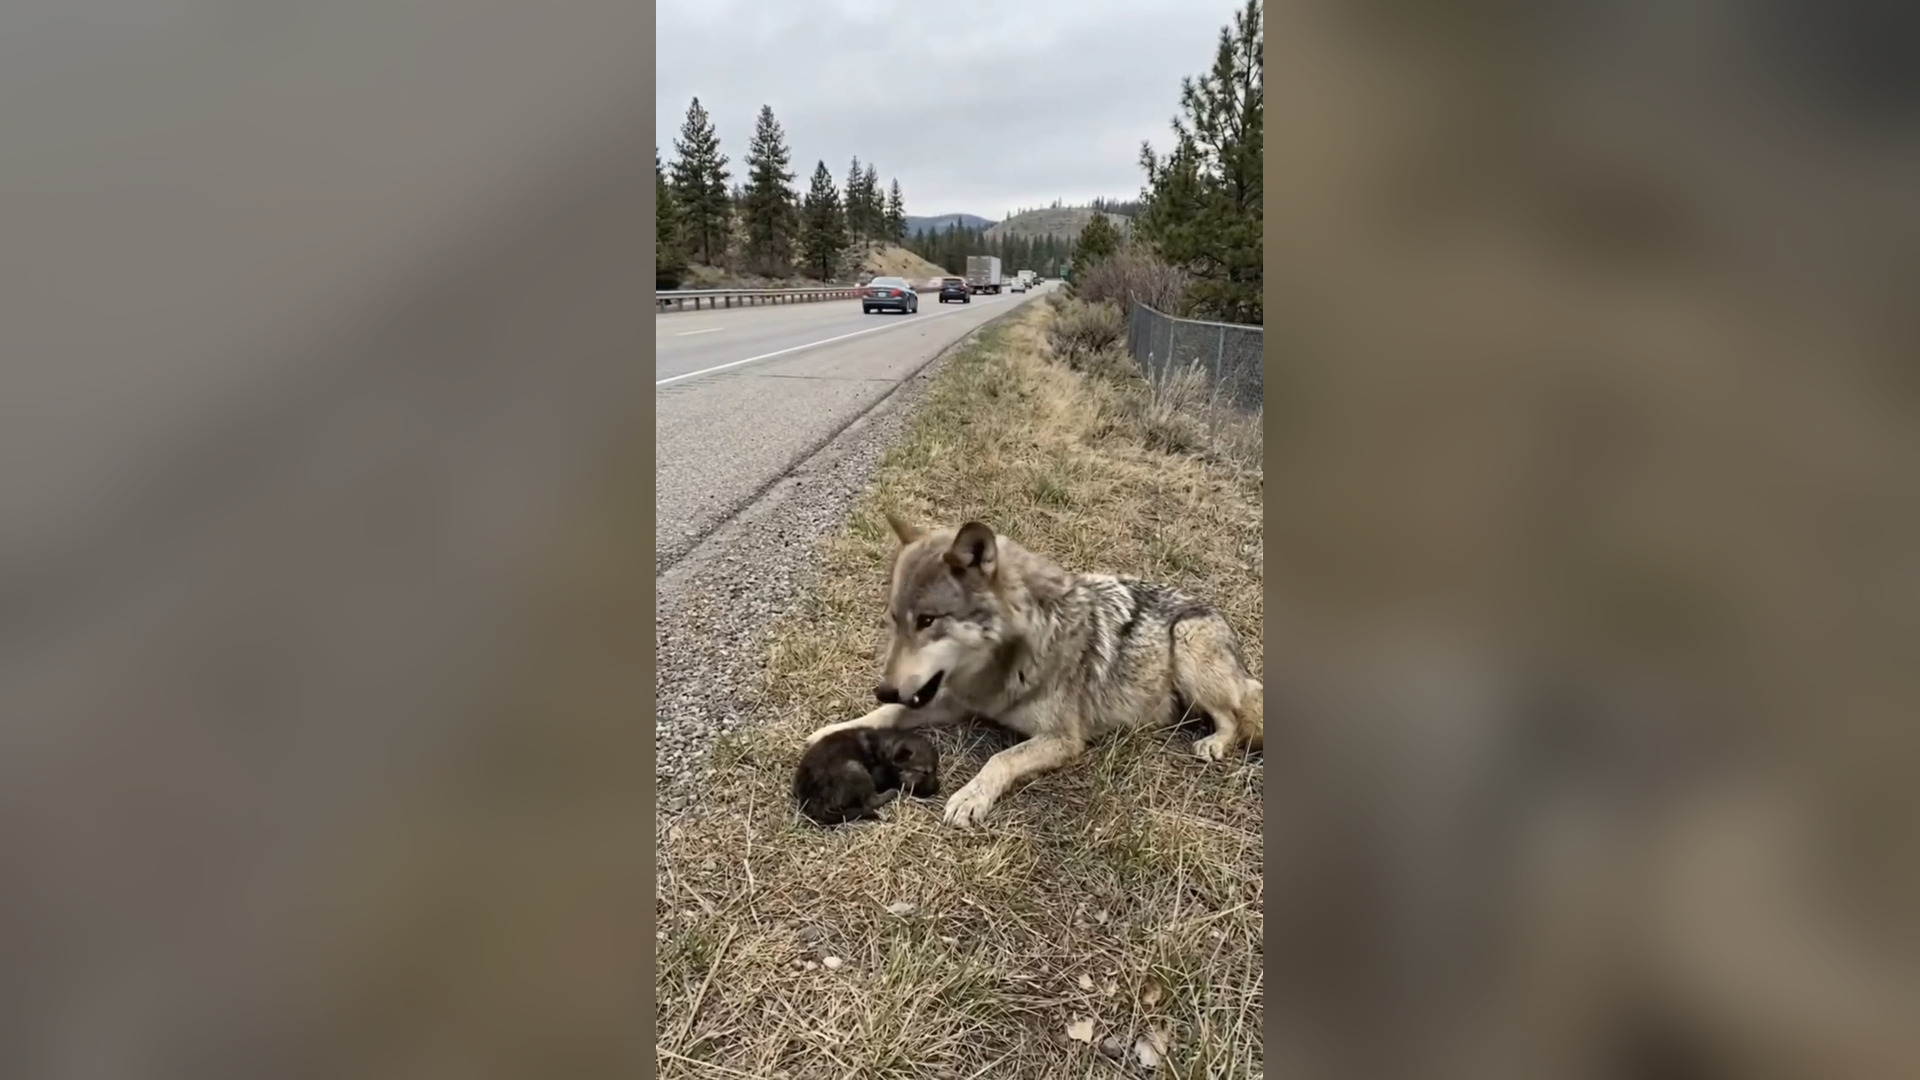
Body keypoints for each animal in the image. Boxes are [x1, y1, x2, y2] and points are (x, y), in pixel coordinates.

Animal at [803, 514, 1263, 827]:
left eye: (928, 621)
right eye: (895, 621)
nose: (883, 688)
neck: (1008, 662)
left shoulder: (1064, 740)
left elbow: (1001, 759)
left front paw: (971, 796)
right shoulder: (959, 702)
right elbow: (888, 715)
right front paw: (835, 729)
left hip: (1187, 644)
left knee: (1233, 718)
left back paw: (1214, 745)